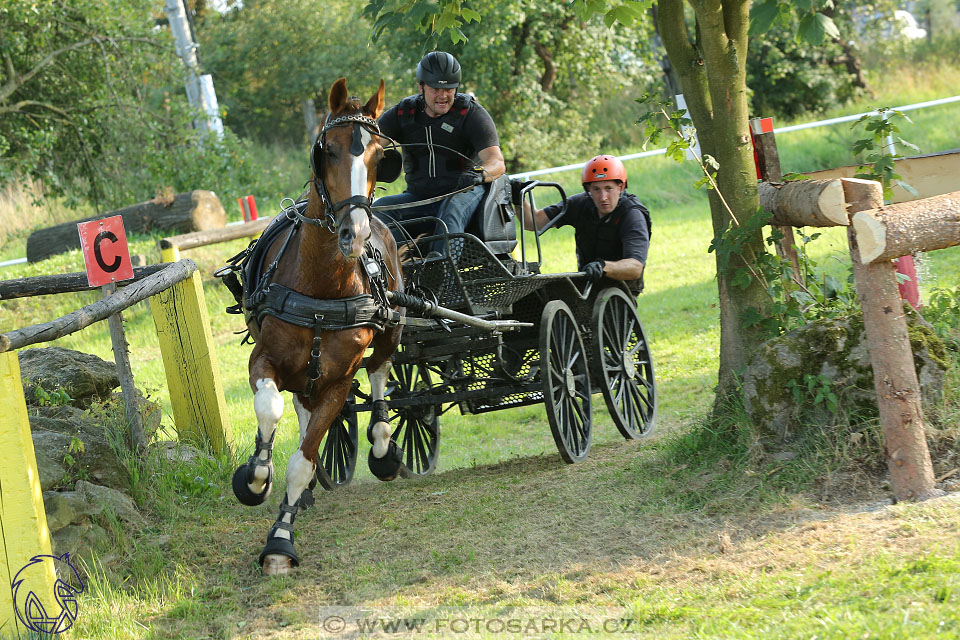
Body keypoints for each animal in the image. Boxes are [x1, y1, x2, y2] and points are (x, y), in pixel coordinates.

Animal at [237, 80, 408, 576]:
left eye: (379, 155)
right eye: (326, 150)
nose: (355, 234)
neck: (321, 286)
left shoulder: (338, 383)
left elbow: (304, 460)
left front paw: (280, 541)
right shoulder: (263, 358)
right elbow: (270, 409)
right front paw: (254, 477)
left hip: (393, 326)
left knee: (380, 372)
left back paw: (383, 444)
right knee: (294, 405)